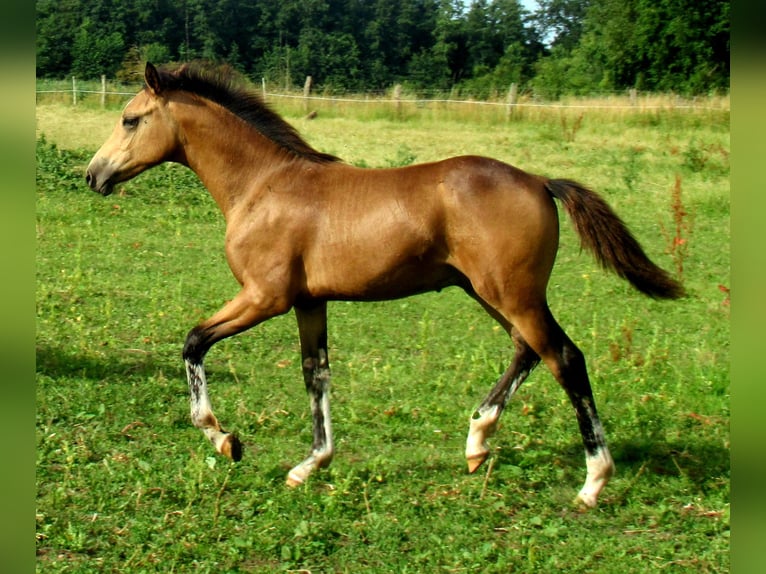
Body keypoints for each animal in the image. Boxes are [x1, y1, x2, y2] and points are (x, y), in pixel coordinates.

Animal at [84, 63, 684, 510]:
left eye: (130, 119)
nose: (94, 175)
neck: (263, 185)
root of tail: (539, 181)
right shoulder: (308, 301)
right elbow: (316, 375)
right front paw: (310, 465)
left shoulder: (264, 297)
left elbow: (194, 342)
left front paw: (224, 439)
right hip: (490, 293)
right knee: (528, 351)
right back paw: (477, 440)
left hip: (512, 294)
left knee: (565, 357)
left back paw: (593, 481)